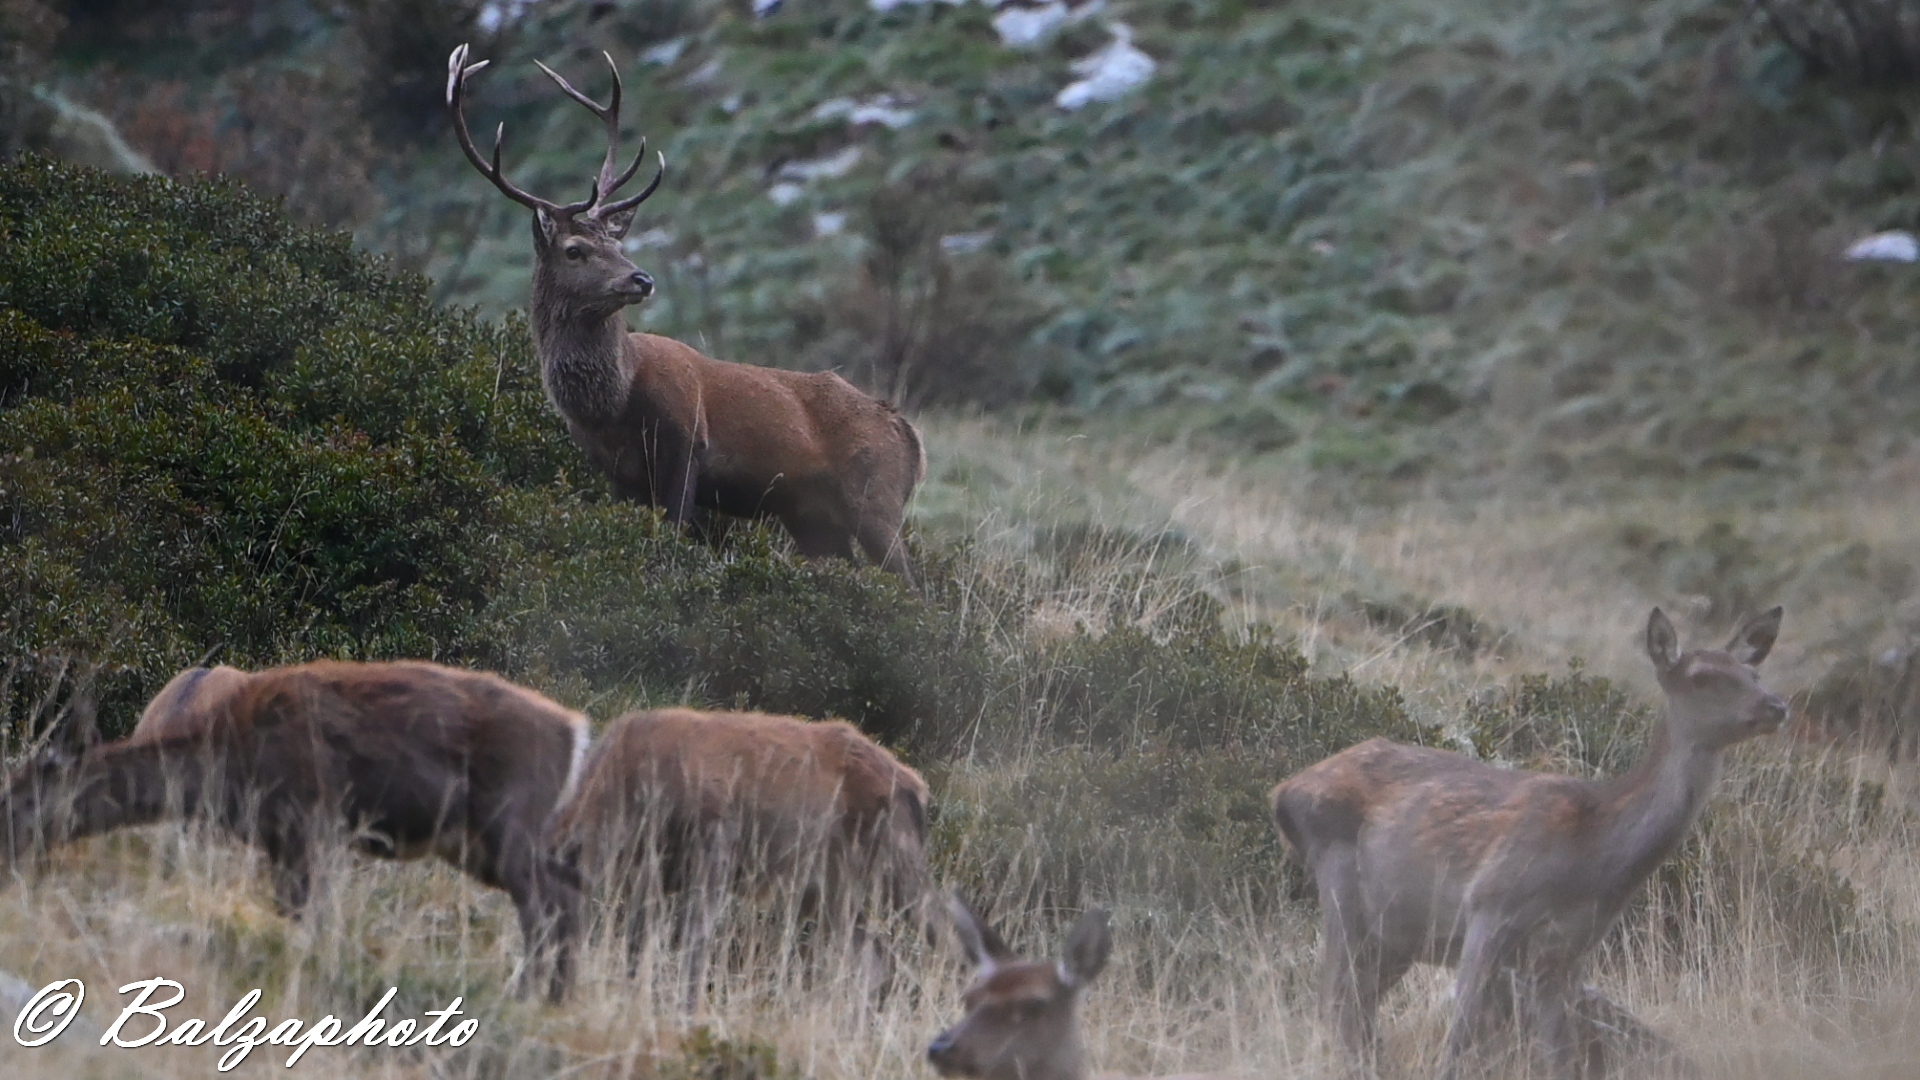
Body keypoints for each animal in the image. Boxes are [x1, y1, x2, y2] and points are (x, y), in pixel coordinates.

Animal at [0, 660, 593, 1002]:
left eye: (17, 799)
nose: (8, 858)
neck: (226, 762)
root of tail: (575, 730)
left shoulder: (309, 820)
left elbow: (306, 916)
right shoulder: (280, 839)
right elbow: (292, 915)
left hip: (509, 819)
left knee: (549, 904)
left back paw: (529, 995)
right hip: (475, 844)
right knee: (564, 896)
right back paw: (553, 998)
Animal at [446, 45, 927, 587]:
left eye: (618, 244)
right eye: (574, 250)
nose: (641, 279)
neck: (612, 407)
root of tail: (909, 438)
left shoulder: (684, 441)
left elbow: (674, 535)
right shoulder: (615, 474)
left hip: (876, 495)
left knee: (915, 587)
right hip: (811, 517)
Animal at [545, 707, 931, 1004]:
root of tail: (916, 786)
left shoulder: (716, 842)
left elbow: (695, 939)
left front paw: (686, 1007)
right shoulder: (648, 872)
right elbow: (638, 942)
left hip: (896, 863)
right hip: (830, 891)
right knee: (874, 957)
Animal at [1270, 605, 1789, 1080]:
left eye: (1753, 672)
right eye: (1702, 678)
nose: (1776, 705)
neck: (1590, 859)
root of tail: (1284, 791)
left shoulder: (1564, 955)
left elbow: (1560, 1058)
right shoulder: (1490, 906)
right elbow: (1458, 1039)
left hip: (1395, 934)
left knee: (1354, 1010)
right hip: (1340, 884)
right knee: (1334, 1003)